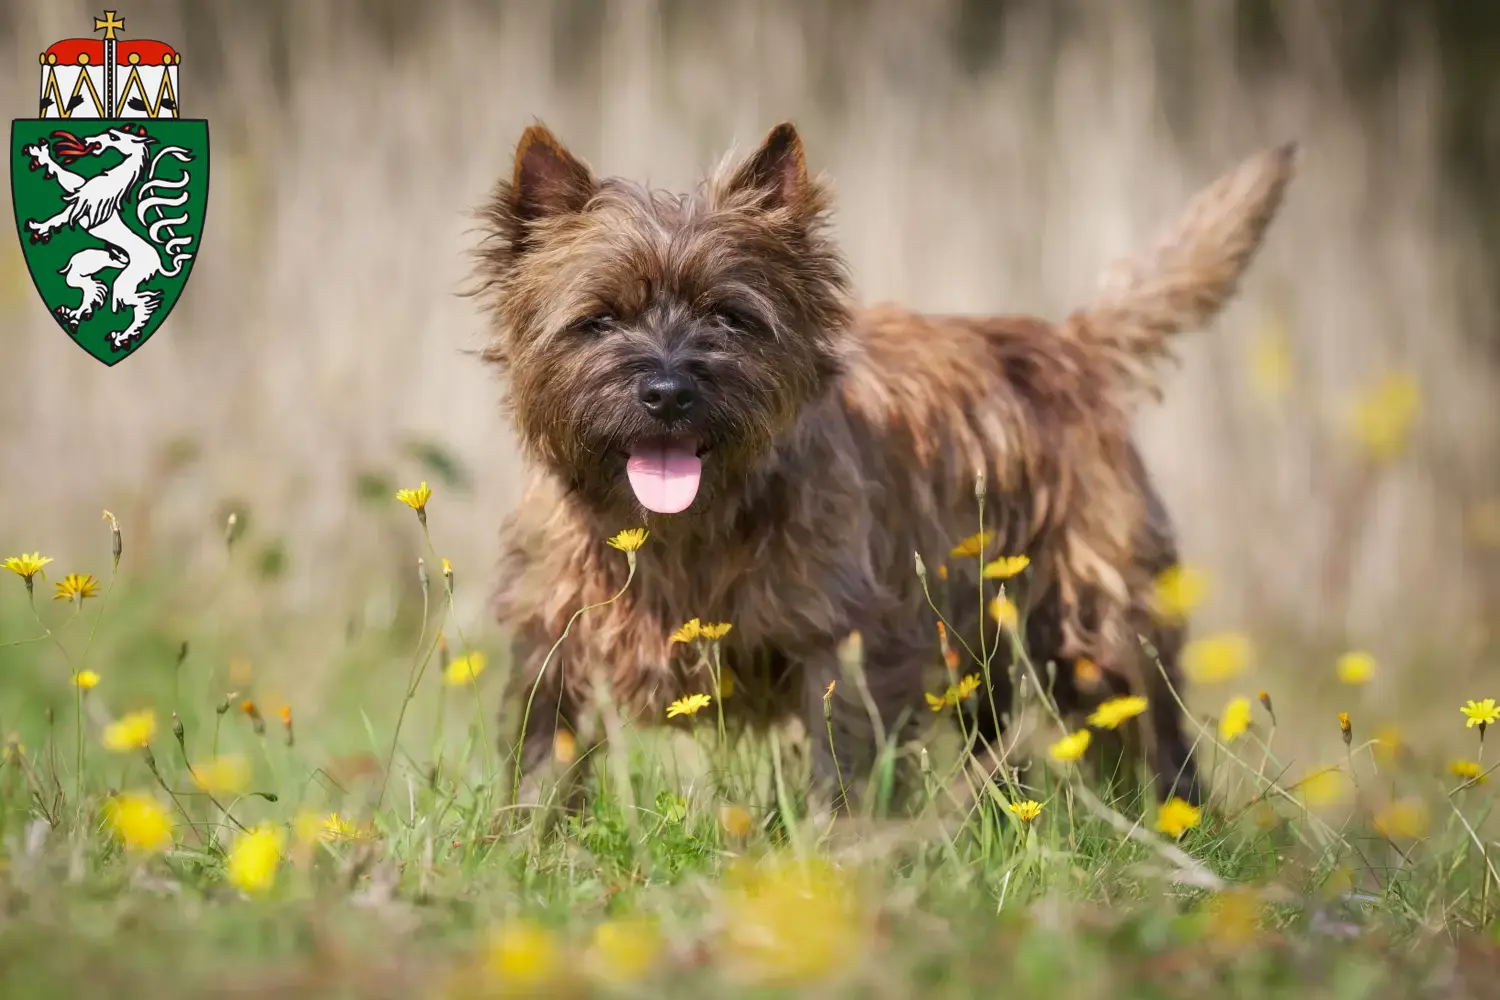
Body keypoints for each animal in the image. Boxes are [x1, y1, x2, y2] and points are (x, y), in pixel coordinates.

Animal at [474, 122, 1296, 815]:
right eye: (599, 319)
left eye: (728, 317)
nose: (669, 391)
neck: (679, 531)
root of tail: (1072, 344)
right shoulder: (554, 633)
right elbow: (545, 753)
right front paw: (530, 839)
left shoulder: (845, 640)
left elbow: (840, 759)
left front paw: (830, 856)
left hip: (1099, 621)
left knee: (1149, 728)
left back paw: (1173, 824)